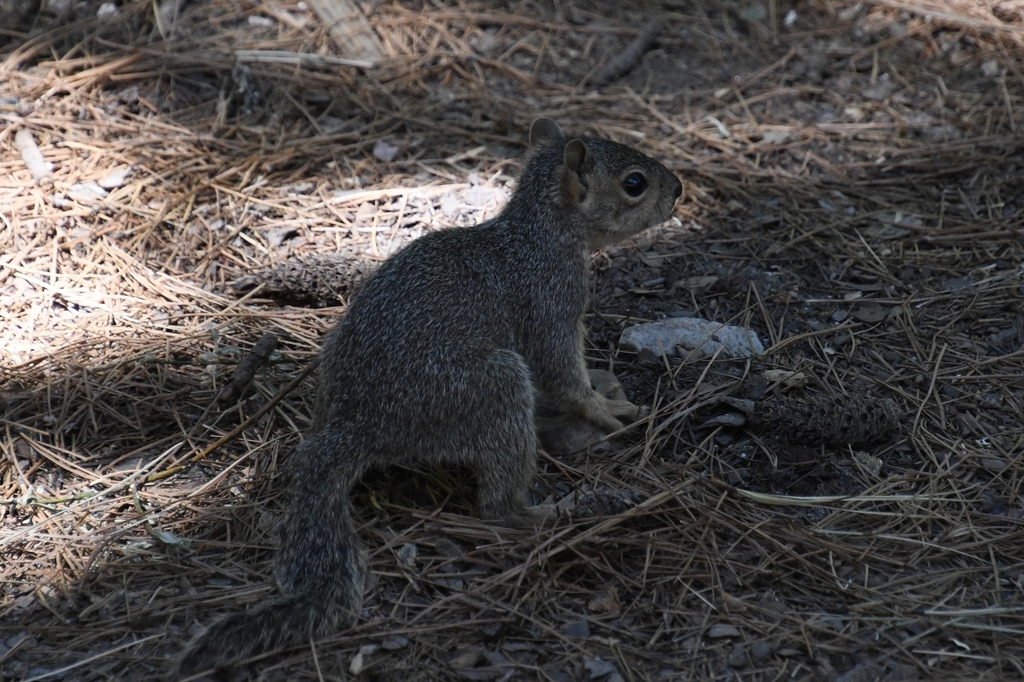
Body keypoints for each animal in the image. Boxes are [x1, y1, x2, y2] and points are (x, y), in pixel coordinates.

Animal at [180, 118, 684, 667]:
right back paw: (552, 512)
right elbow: (562, 375)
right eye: (634, 183)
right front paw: (606, 409)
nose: (679, 190)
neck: (541, 233)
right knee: (497, 505)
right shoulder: (551, 300)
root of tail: (358, 427)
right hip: (491, 388)